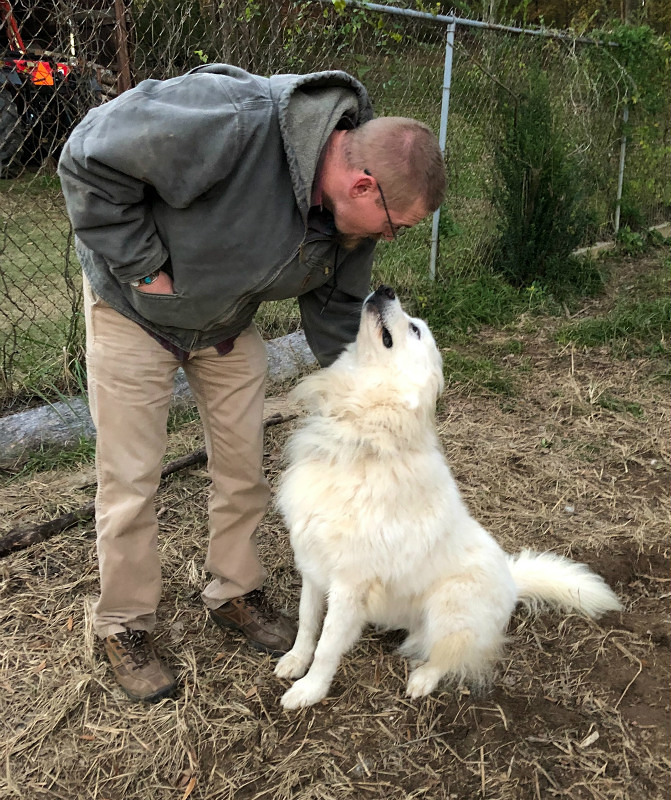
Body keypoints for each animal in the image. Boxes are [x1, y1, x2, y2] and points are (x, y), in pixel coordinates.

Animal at [276, 284, 624, 708]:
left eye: (415, 330)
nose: (385, 288)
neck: (361, 439)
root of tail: (512, 580)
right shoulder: (312, 567)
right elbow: (307, 623)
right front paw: (295, 661)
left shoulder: (348, 584)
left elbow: (327, 645)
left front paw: (309, 690)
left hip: (447, 605)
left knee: (449, 653)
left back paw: (422, 679)